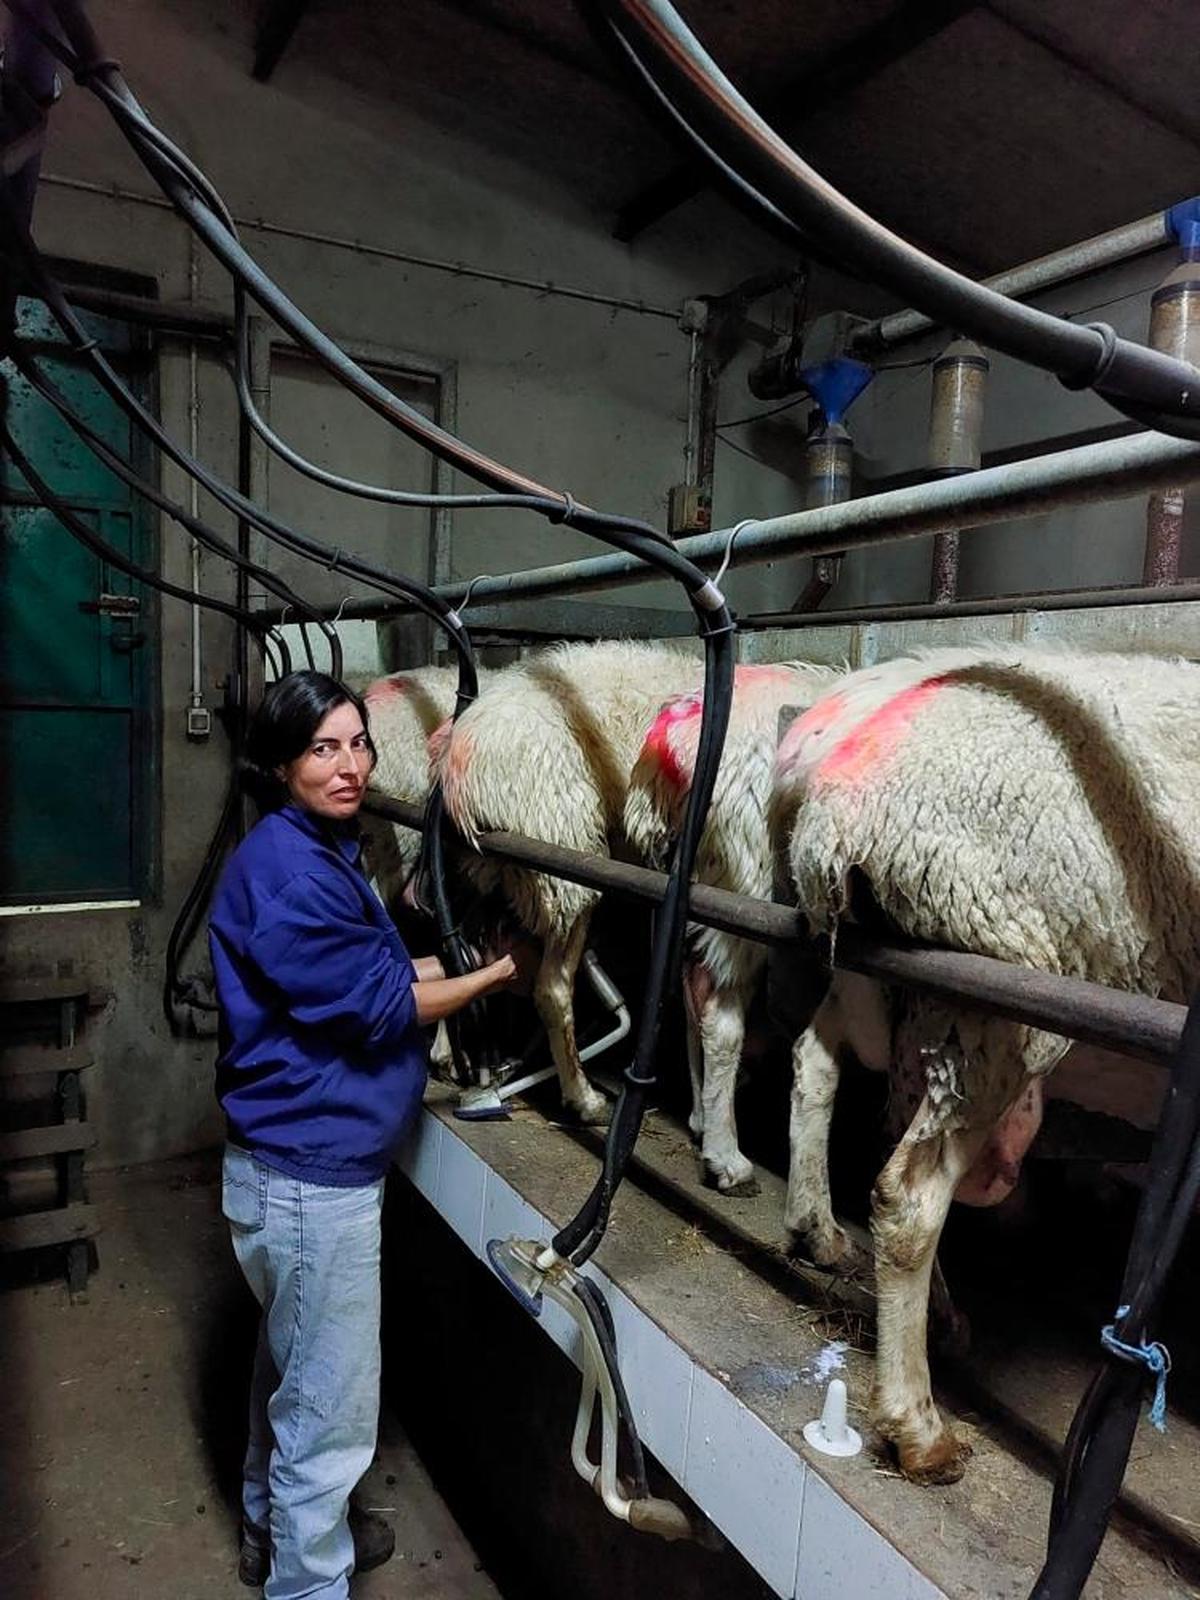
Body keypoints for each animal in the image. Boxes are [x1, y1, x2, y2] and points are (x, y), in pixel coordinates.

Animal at [438, 640, 704, 1126]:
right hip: (566, 859)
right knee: (551, 989)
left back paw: (449, 1056)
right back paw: (583, 1098)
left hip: (485, 873)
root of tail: (462, 774)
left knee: (454, 950)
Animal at [624, 656, 838, 1196]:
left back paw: (704, 1120)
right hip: (745, 879)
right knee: (720, 1018)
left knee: (690, 990)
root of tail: (674, 730)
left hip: (694, 880)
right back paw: (726, 1158)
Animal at [771, 640, 1200, 1484]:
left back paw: (831, 1238)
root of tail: (841, 802)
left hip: (885, 979)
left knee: (823, 1069)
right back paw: (919, 1426)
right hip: (999, 989)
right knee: (907, 1192)